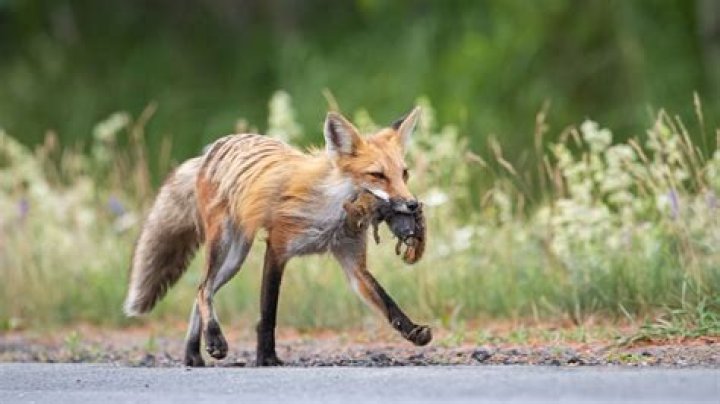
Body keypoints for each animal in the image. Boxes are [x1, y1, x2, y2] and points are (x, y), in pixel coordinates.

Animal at [123, 107, 431, 367]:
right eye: (377, 175)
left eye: (404, 173)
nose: (413, 205)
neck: (330, 214)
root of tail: (210, 151)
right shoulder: (277, 248)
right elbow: (267, 312)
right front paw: (266, 357)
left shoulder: (353, 263)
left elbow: (387, 301)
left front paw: (413, 331)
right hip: (222, 243)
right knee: (203, 289)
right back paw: (215, 340)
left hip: (234, 259)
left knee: (202, 292)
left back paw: (193, 354)